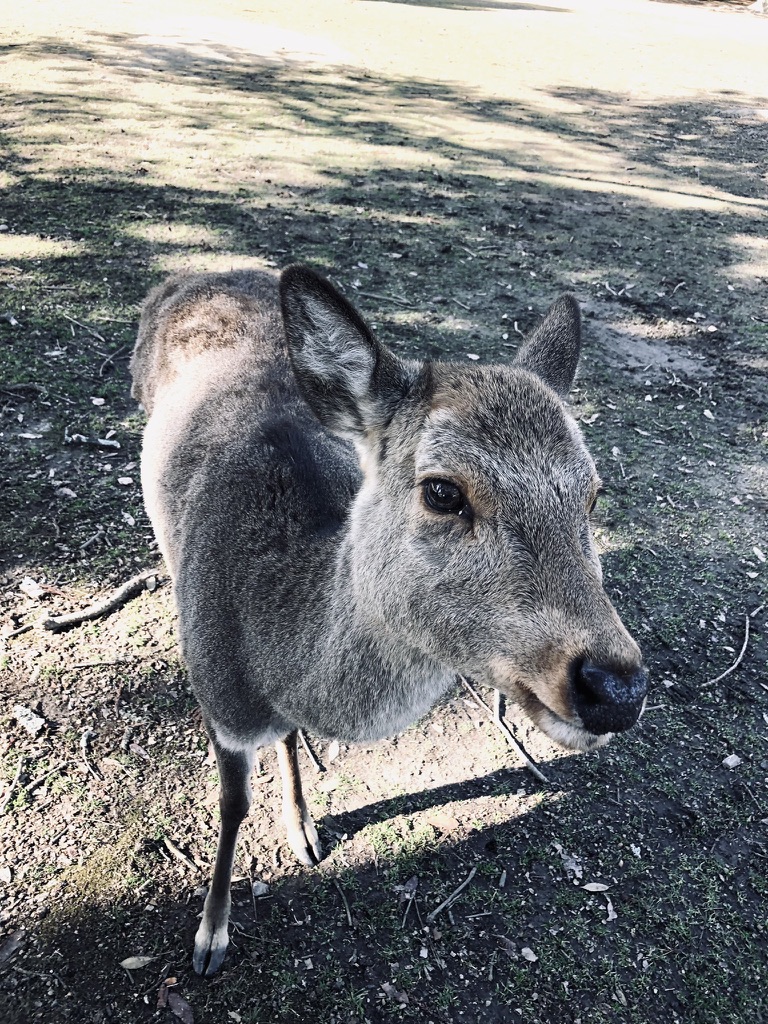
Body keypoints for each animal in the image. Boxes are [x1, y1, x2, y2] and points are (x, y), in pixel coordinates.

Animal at [130, 265, 648, 976]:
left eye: (593, 495)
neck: (270, 651)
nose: (616, 687)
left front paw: (301, 828)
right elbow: (232, 807)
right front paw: (210, 936)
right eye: (442, 491)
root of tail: (187, 276)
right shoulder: (219, 698)